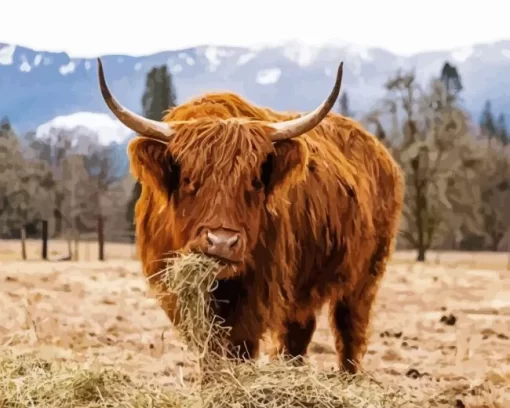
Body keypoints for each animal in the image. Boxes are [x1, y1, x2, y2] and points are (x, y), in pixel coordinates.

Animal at [97, 59, 404, 374]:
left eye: (255, 181)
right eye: (189, 180)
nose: (221, 242)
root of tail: (380, 151)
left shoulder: (258, 292)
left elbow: (239, 347)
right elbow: (209, 348)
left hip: (365, 276)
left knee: (349, 329)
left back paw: (348, 376)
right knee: (299, 331)